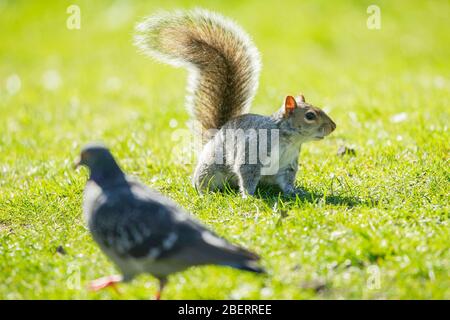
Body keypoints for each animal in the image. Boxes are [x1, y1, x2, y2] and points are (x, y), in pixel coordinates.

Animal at [134, 8, 334, 198]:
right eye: (310, 115)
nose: (333, 127)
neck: (289, 139)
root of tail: (214, 135)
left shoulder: (287, 165)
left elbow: (286, 181)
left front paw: (294, 192)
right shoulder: (252, 152)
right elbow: (247, 174)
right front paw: (249, 196)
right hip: (211, 168)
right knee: (203, 182)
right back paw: (206, 193)